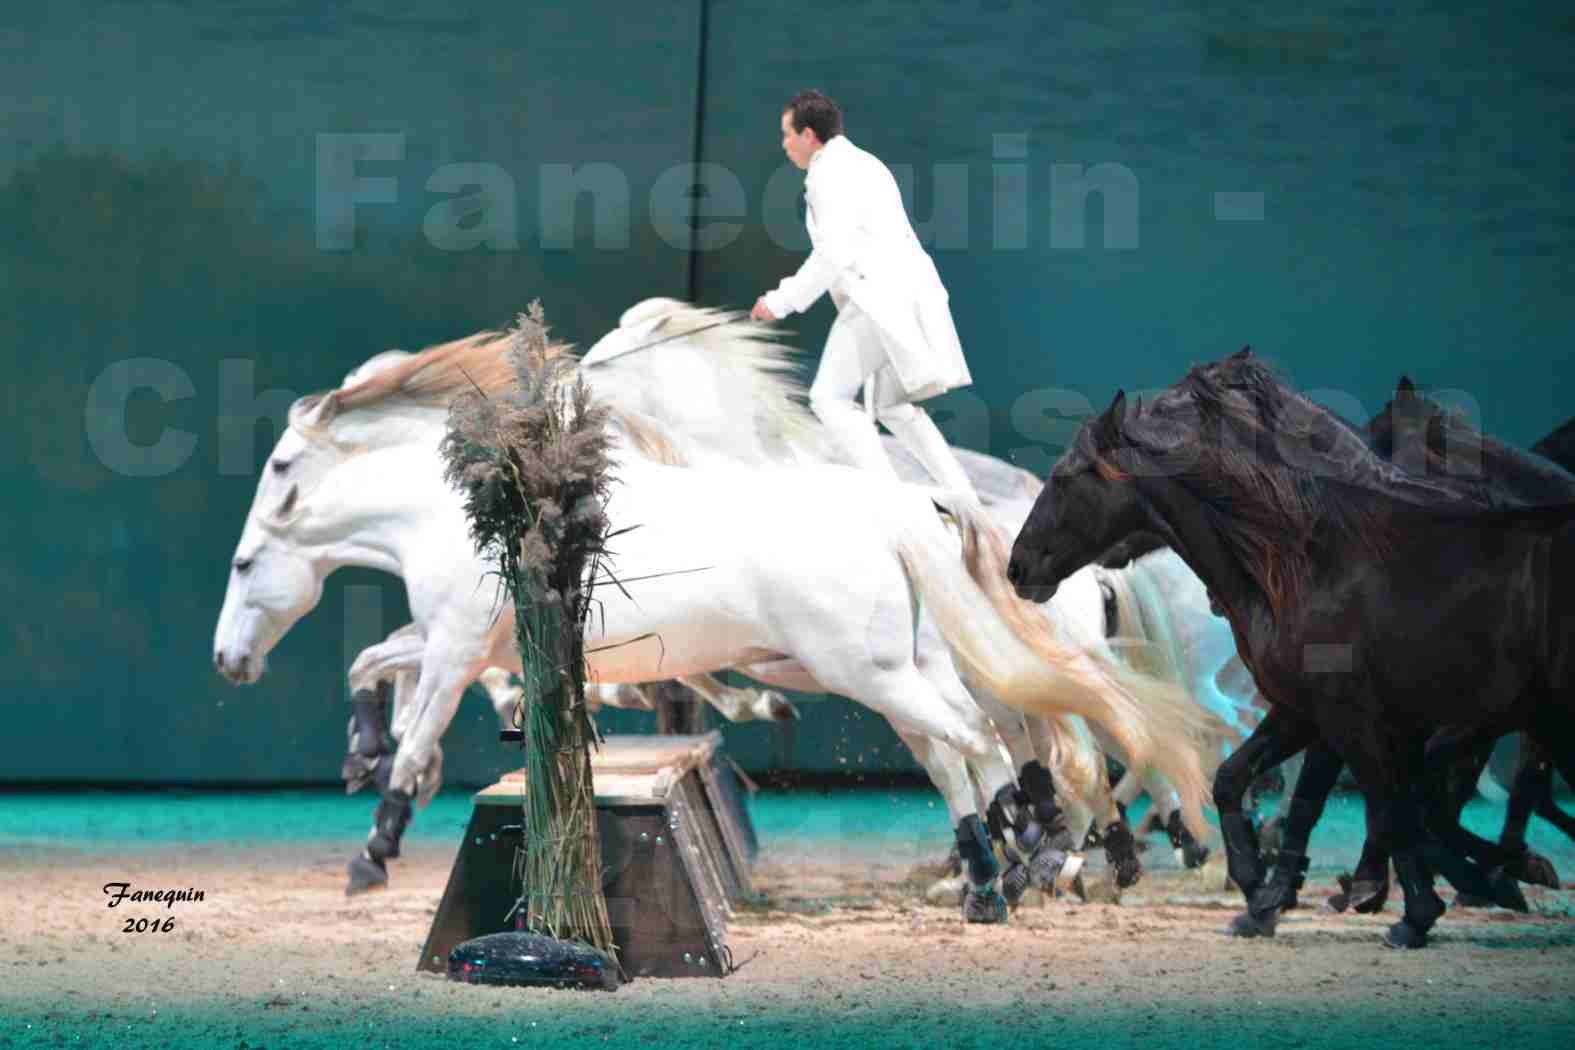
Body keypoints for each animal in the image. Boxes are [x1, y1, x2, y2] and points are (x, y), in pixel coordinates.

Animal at [1008, 352, 1575, 950]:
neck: (1308, 559)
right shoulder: (1311, 712)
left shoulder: (1359, 717)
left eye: (1066, 476)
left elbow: (1388, 806)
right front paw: (1260, 895)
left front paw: (1414, 911)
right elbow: (1236, 780)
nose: (1017, 566)